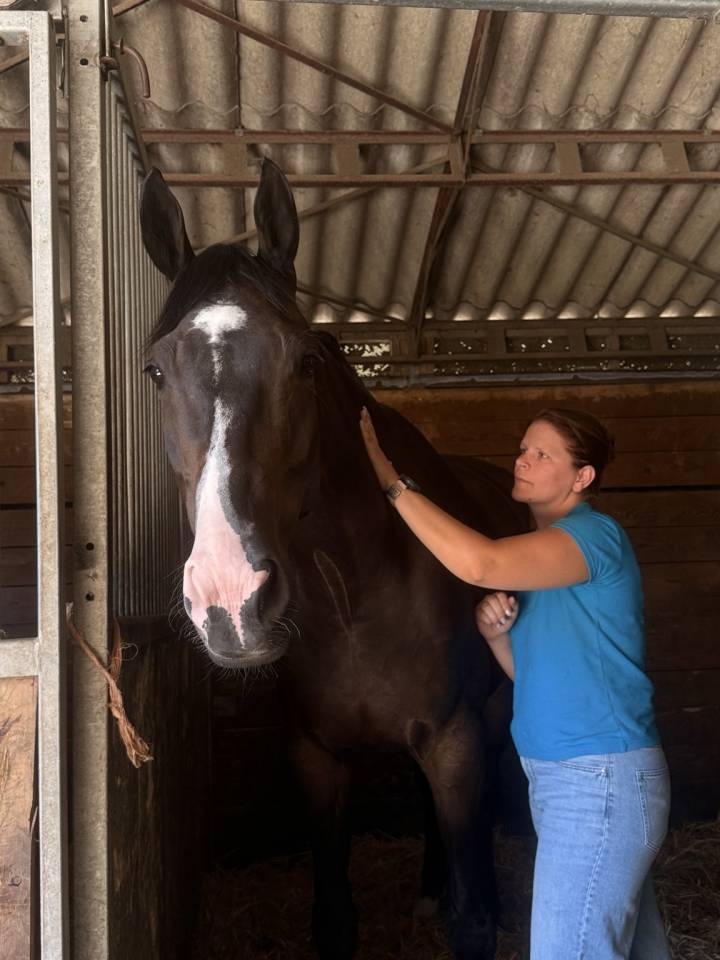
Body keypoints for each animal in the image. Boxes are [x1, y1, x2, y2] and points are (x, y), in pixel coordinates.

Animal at [139, 158, 530, 960]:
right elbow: (334, 920)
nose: (229, 599)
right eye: (157, 371)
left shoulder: (455, 741)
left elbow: (473, 921)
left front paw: (472, 905)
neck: (355, 596)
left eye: (306, 361)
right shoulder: (316, 758)